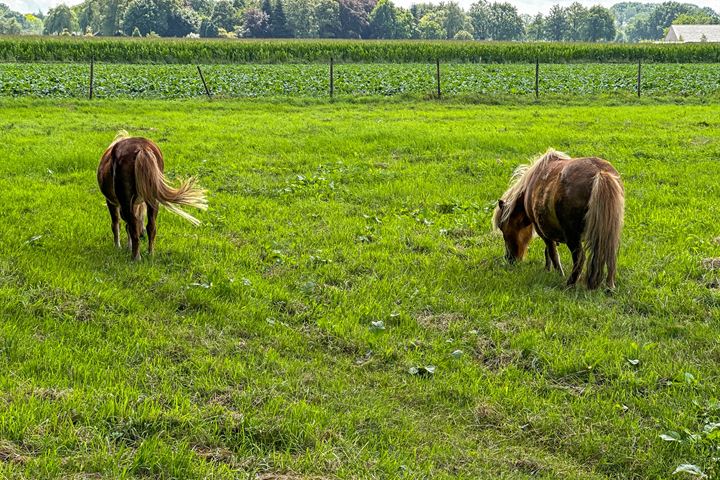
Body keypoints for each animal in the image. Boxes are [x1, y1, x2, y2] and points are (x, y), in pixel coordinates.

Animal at [97, 131, 208, 260]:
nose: (142, 235)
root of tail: (142, 148)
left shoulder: (111, 202)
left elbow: (116, 224)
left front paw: (118, 246)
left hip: (126, 201)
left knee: (133, 227)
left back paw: (136, 257)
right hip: (152, 200)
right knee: (151, 227)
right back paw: (150, 253)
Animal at [496, 148, 624, 288]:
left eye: (503, 228)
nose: (509, 258)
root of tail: (600, 173)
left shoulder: (541, 229)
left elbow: (552, 252)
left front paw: (558, 273)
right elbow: (549, 251)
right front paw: (547, 269)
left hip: (572, 236)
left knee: (580, 258)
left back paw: (569, 284)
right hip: (608, 233)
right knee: (610, 256)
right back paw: (609, 286)